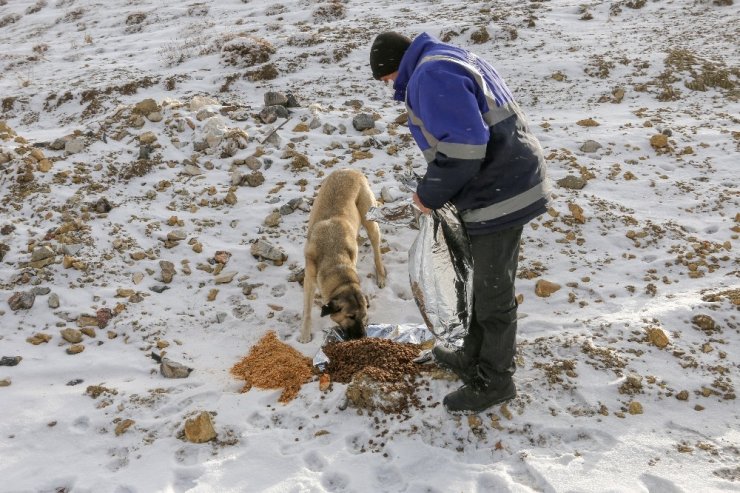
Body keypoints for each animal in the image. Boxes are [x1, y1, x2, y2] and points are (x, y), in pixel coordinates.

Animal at [300, 169, 388, 342]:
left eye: (364, 316)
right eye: (350, 316)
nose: (362, 337)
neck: (334, 259)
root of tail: (352, 171)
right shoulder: (309, 279)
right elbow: (307, 309)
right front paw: (305, 334)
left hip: (370, 222)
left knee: (376, 251)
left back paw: (380, 275)